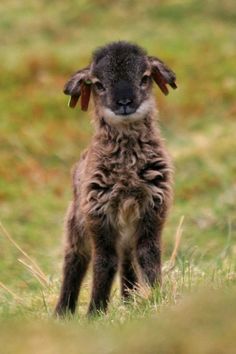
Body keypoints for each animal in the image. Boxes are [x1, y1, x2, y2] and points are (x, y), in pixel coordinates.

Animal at [54, 40, 177, 316]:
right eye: (98, 84)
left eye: (144, 78)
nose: (124, 102)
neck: (128, 176)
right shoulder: (99, 214)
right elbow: (104, 262)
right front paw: (95, 312)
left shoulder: (153, 209)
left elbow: (149, 256)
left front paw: (156, 297)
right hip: (76, 222)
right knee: (74, 260)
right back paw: (62, 312)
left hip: (125, 233)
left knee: (127, 261)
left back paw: (128, 300)